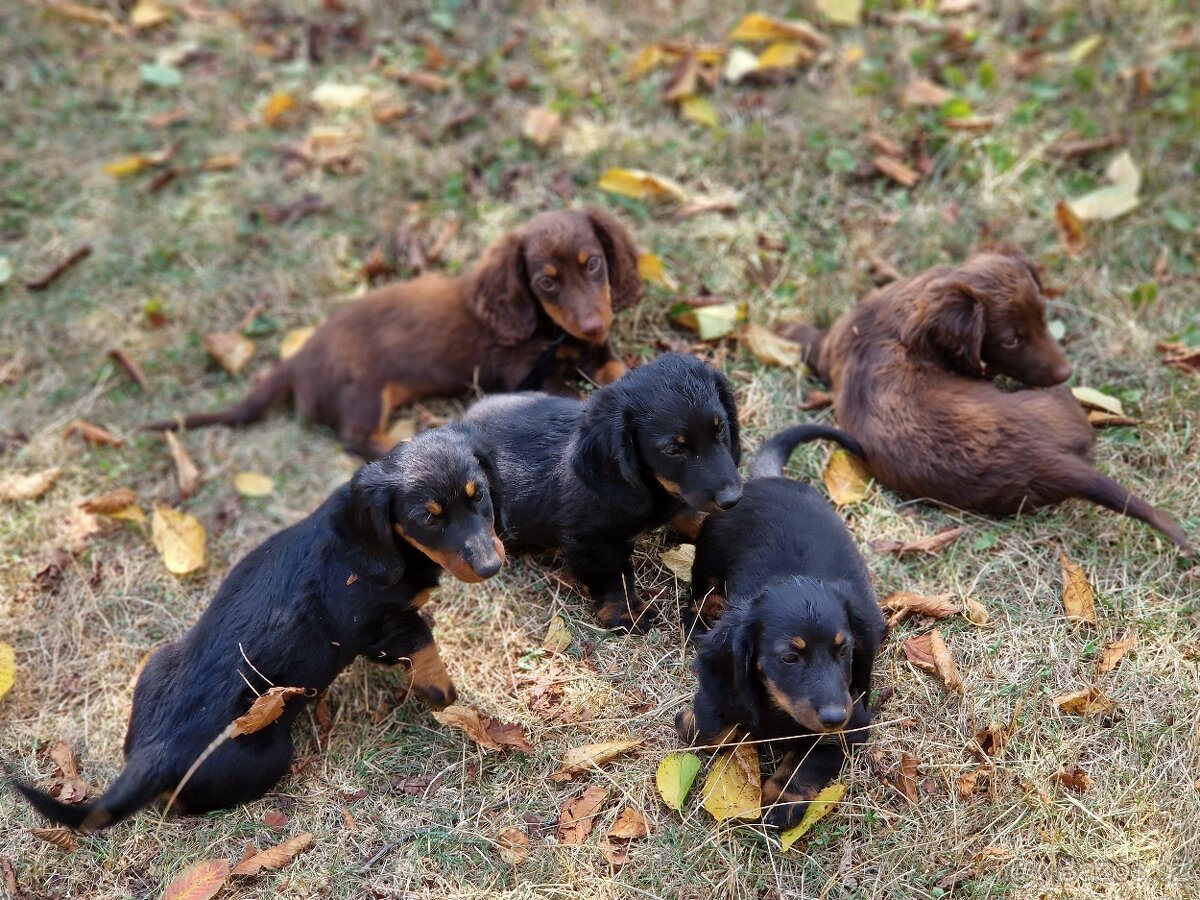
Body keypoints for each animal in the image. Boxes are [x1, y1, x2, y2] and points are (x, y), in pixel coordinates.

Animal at [17, 427, 506, 835]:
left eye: (480, 495)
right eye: (429, 518)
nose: (491, 567)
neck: (384, 547)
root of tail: (152, 754)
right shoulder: (380, 624)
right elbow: (423, 644)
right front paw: (443, 692)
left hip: (157, 664)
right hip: (268, 755)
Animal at [153, 210, 643, 458]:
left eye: (593, 263)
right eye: (546, 283)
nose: (594, 324)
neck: (551, 328)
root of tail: (297, 360)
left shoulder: (596, 348)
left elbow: (615, 367)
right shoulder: (525, 374)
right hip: (365, 389)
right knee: (356, 437)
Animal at [465, 348, 739, 628]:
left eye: (720, 429)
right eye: (673, 450)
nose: (733, 499)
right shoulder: (594, 541)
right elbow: (614, 575)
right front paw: (628, 612)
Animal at [681, 427, 888, 835]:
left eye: (845, 650)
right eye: (790, 657)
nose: (834, 717)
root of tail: (770, 479)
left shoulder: (853, 725)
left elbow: (811, 760)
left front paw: (783, 800)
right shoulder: (722, 686)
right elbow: (710, 733)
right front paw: (692, 722)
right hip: (709, 552)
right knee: (701, 589)